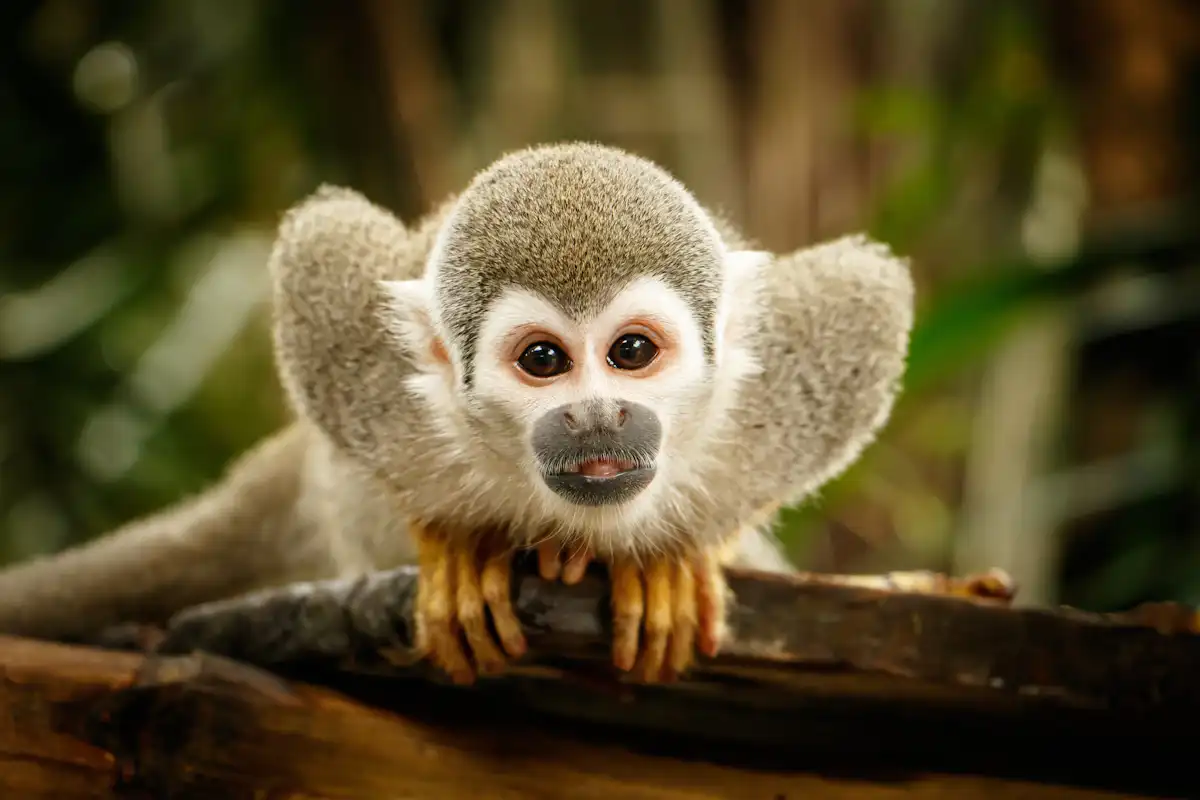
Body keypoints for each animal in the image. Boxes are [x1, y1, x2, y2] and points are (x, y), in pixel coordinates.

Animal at [0, 142, 913, 685]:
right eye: (543, 361)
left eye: (631, 353)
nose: (597, 417)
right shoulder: (369, 381)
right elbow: (322, 244)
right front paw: (454, 545)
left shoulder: (784, 388)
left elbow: (868, 294)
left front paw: (676, 558)